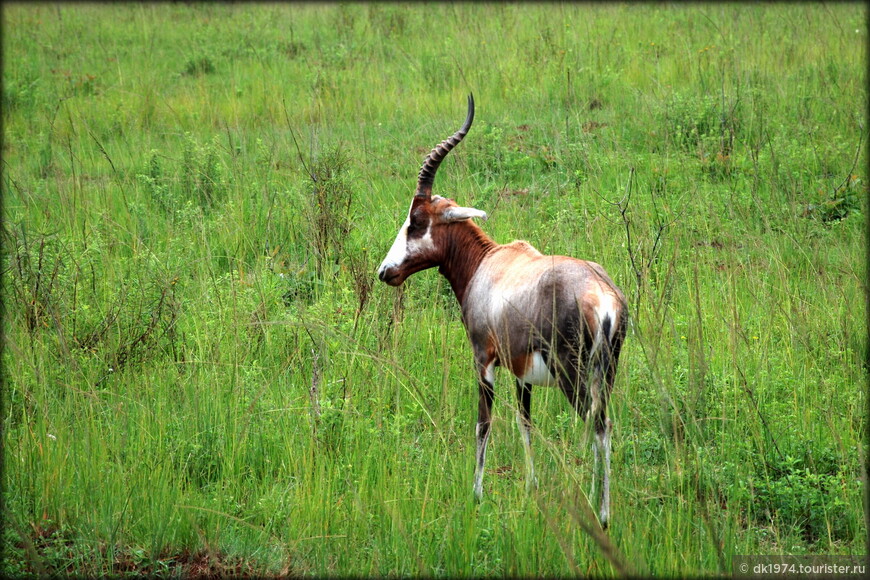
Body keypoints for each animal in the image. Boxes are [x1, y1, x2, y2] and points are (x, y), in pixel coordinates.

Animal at [376, 97, 628, 528]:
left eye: (416, 221)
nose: (385, 271)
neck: (489, 263)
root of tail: (604, 298)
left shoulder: (484, 360)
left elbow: (483, 424)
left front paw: (476, 495)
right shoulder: (522, 373)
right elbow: (525, 423)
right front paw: (531, 486)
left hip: (573, 377)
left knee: (600, 426)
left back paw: (604, 515)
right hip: (604, 375)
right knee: (602, 425)